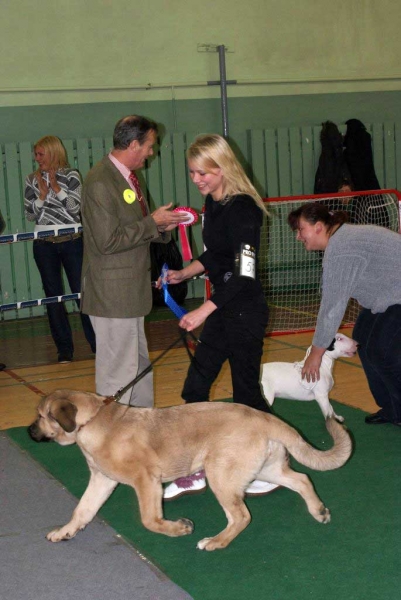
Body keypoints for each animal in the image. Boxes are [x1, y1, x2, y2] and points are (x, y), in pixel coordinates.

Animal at [29, 390, 352, 552]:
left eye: (41, 416)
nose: (30, 431)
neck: (93, 421)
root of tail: (265, 417)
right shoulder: (102, 481)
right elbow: (82, 510)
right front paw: (65, 531)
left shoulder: (146, 482)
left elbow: (149, 520)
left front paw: (178, 528)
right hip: (266, 469)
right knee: (302, 479)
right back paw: (318, 511)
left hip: (220, 475)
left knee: (241, 516)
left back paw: (216, 542)